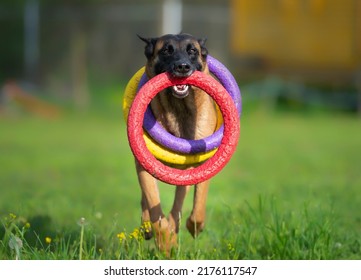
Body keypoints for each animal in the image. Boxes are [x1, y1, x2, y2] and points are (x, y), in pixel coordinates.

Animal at [135, 33, 218, 254]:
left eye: (192, 51)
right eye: (166, 50)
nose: (182, 67)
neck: (179, 109)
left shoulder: (197, 165)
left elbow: (194, 205)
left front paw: (191, 227)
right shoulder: (144, 163)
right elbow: (153, 203)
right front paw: (165, 242)